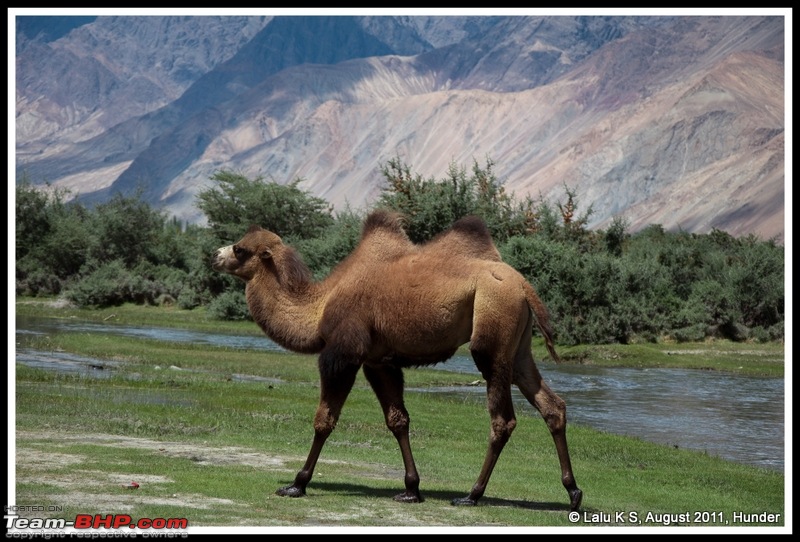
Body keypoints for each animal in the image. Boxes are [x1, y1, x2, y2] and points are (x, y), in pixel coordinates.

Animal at [214, 210, 580, 512]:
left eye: (240, 249)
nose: (214, 256)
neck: (319, 308)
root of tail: (524, 285)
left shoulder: (343, 354)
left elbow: (324, 420)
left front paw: (296, 484)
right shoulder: (379, 361)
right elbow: (397, 420)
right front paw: (411, 490)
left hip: (492, 333)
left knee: (502, 419)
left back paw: (472, 495)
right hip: (519, 347)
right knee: (552, 406)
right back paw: (573, 492)